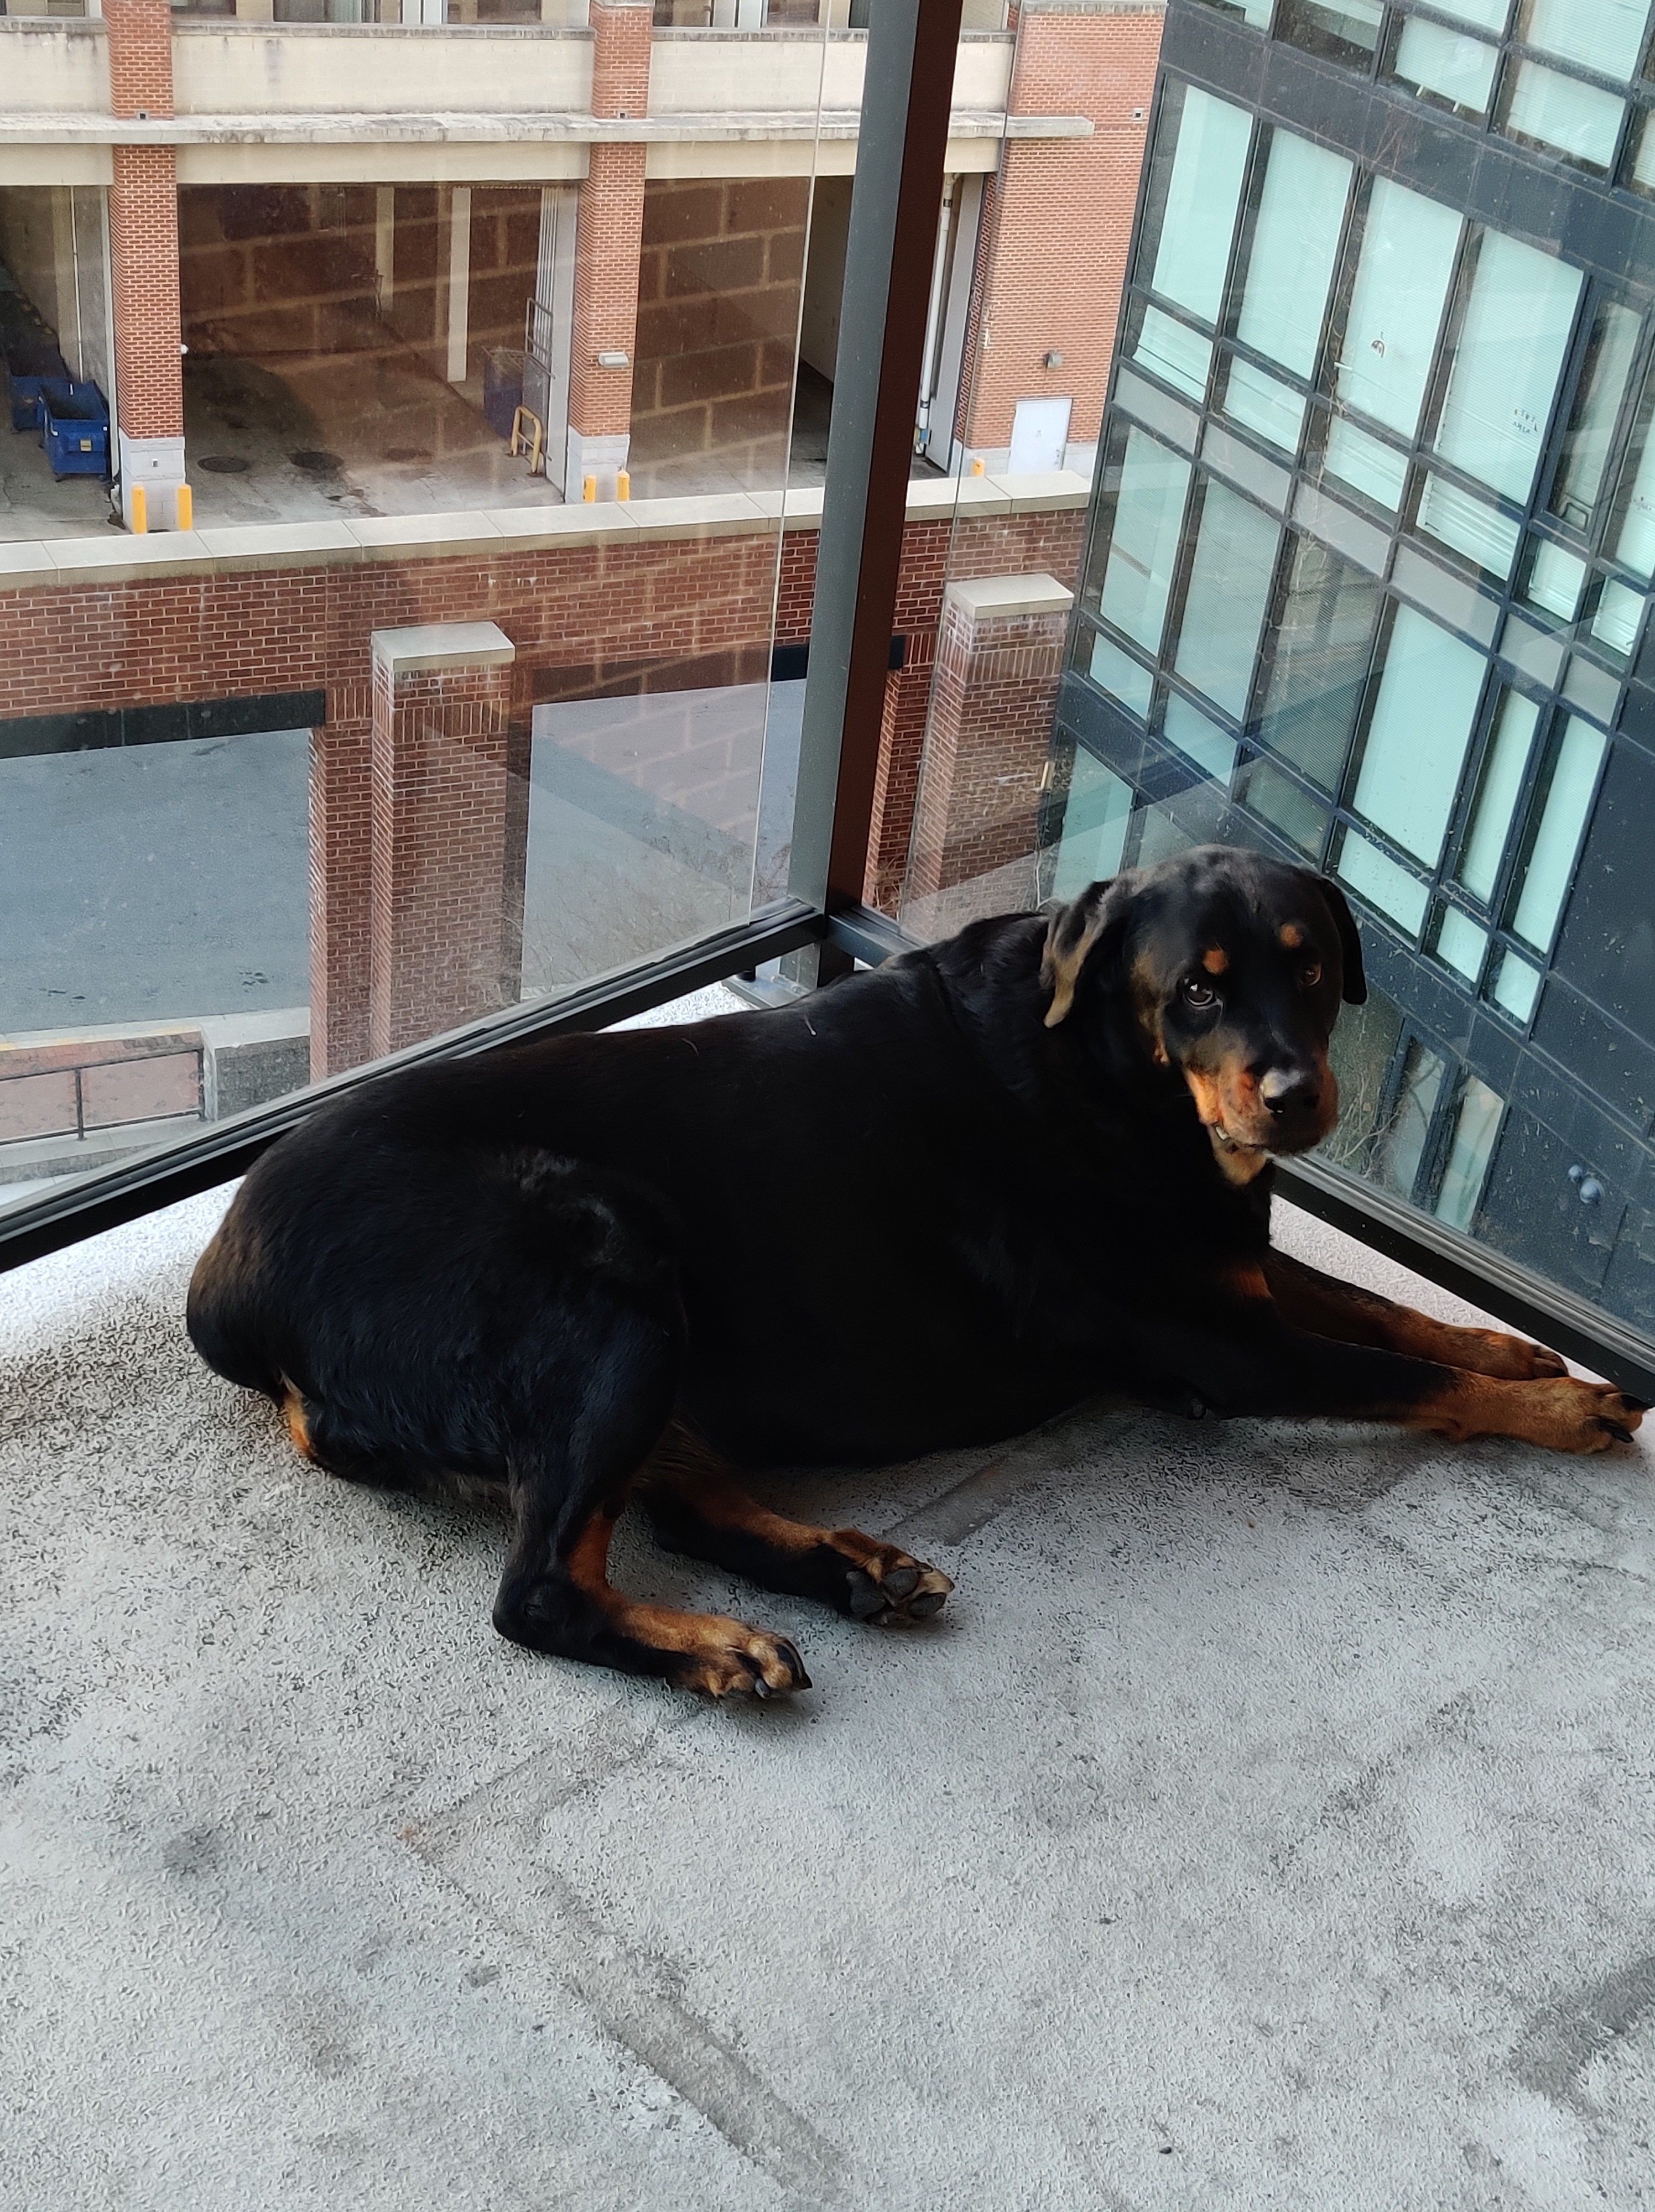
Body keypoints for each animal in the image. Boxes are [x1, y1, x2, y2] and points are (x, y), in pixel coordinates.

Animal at [187, 844, 1644, 1697]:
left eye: (1308, 965)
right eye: (1197, 989)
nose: (1291, 1096)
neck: (1113, 1081)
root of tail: (227, 1289)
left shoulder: (1226, 1269)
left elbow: (1387, 1312)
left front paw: (1516, 1346)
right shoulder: (1215, 1343)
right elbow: (1392, 1371)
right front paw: (1560, 1405)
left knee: (675, 1506)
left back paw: (849, 1572)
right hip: (605, 1259)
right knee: (542, 1585)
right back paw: (718, 1641)